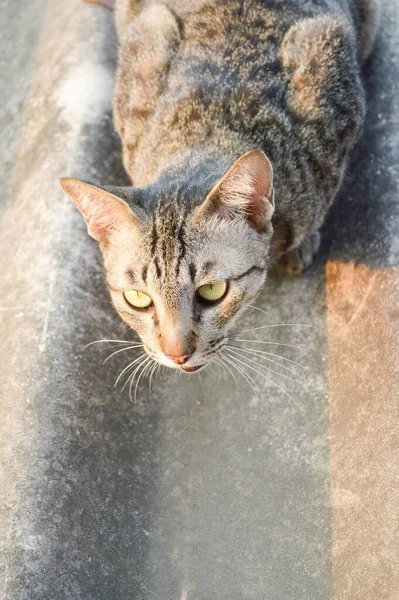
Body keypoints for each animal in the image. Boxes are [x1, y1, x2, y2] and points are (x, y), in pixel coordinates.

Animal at [61, 0, 380, 372]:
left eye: (212, 291)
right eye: (137, 298)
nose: (176, 354)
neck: (207, 132)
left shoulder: (331, 64)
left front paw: (300, 243)